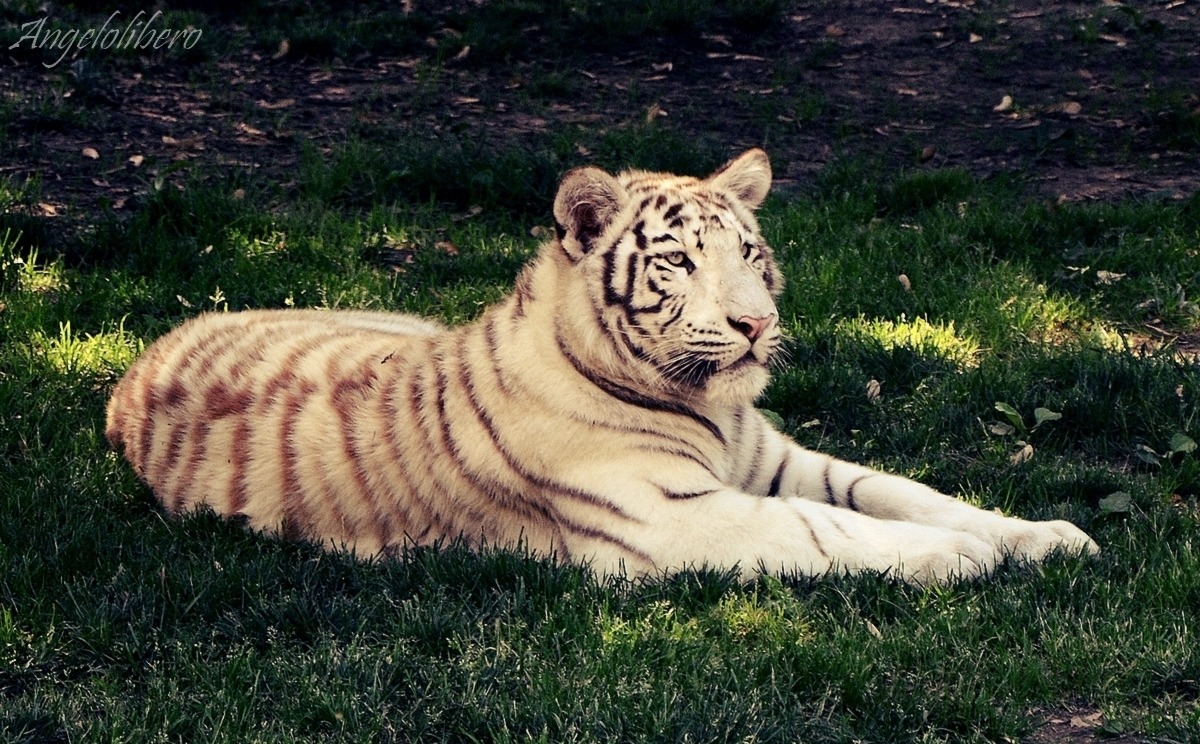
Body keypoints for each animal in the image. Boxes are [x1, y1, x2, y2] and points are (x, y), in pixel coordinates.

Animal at [105, 149, 1099, 584]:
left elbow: (902, 491)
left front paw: (1047, 536)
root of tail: (132, 368)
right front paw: (964, 557)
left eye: (750, 253)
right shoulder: (679, 520)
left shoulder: (781, 462)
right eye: (680, 263)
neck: (711, 410)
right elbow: (834, 531)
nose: (755, 322)